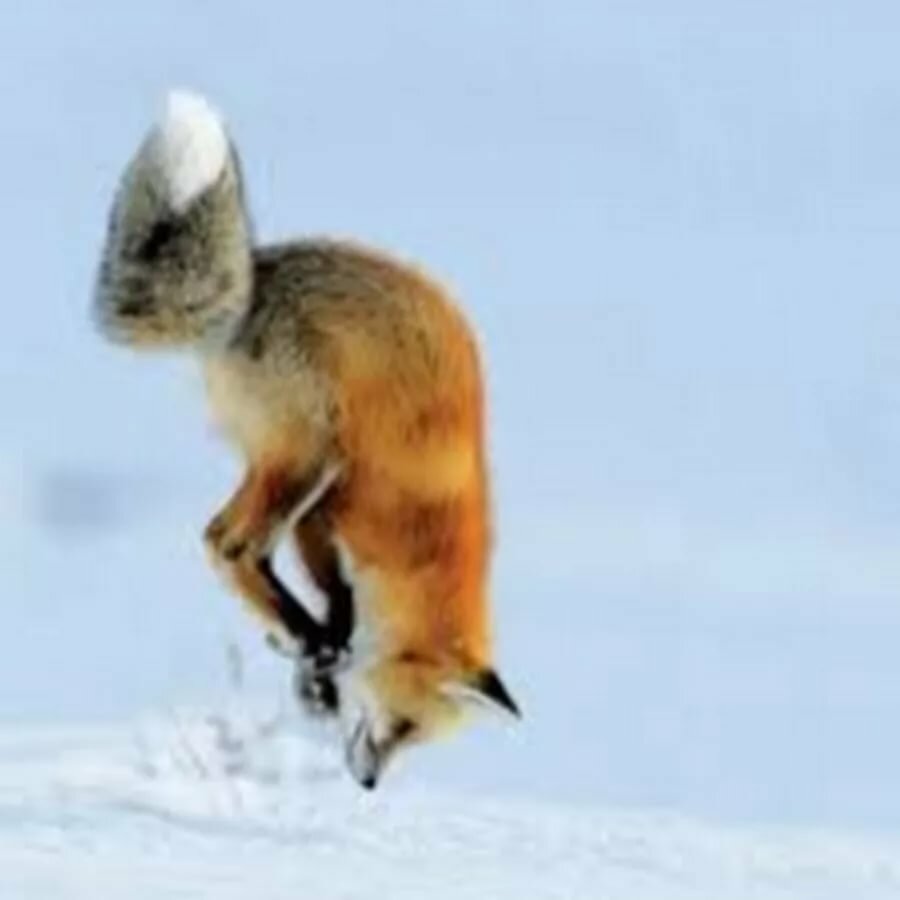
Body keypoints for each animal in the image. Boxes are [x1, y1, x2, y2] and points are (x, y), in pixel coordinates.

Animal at [93, 91, 519, 788]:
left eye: (414, 740)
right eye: (403, 725)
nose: (370, 785)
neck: (428, 545)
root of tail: (257, 274)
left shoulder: (323, 519)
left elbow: (337, 596)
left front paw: (322, 667)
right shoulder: (346, 505)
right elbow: (329, 598)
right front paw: (320, 656)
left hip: (289, 463)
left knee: (230, 543)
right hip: (308, 454)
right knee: (228, 542)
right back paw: (299, 629)